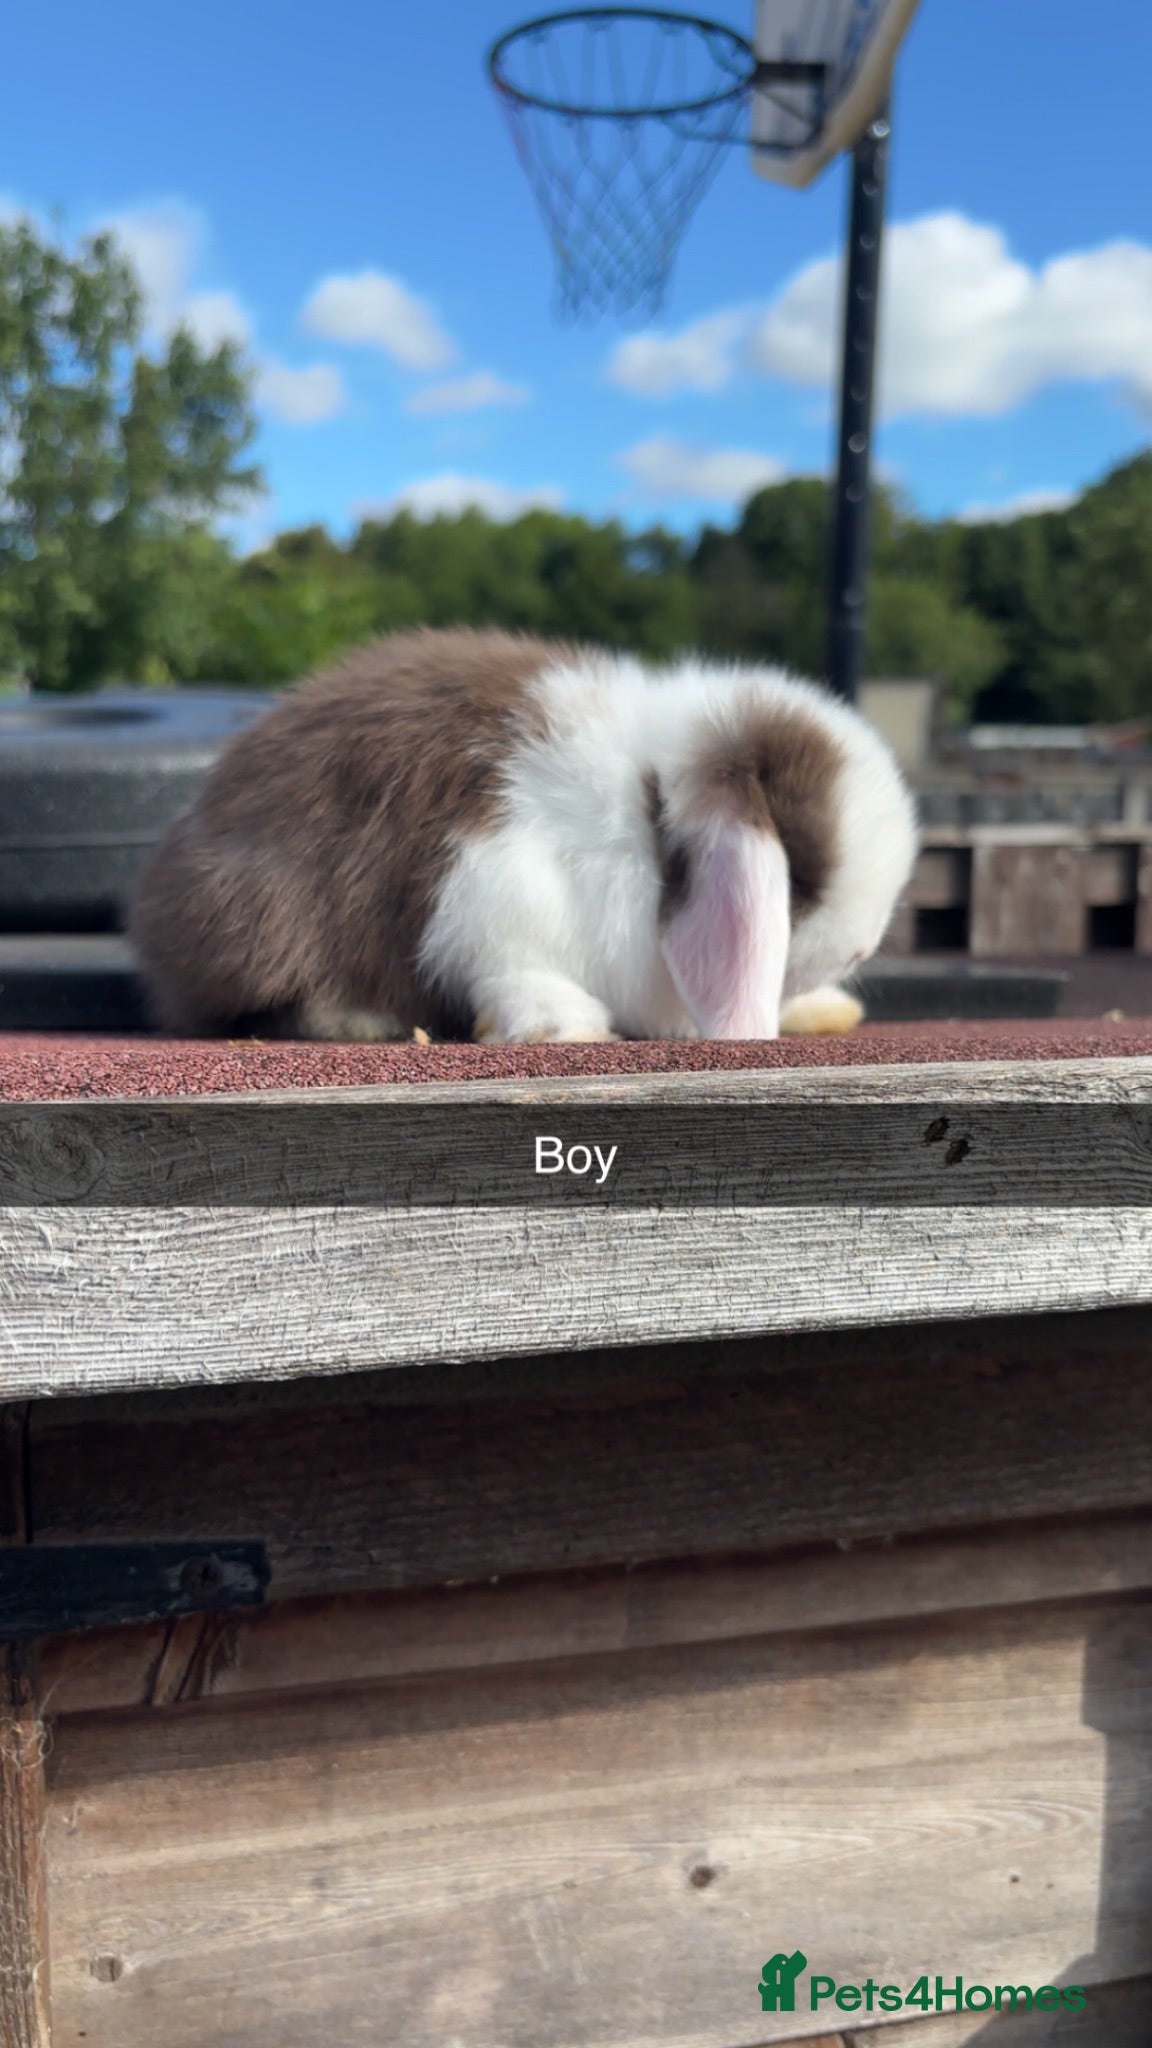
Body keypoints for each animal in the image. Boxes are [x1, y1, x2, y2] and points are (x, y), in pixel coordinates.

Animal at [129, 627, 918, 1044]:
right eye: (801, 880)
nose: (861, 949)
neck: (646, 807)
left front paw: (829, 1007)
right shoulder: (493, 890)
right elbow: (510, 966)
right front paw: (566, 1025)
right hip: (253, 917)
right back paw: (358, 1017)